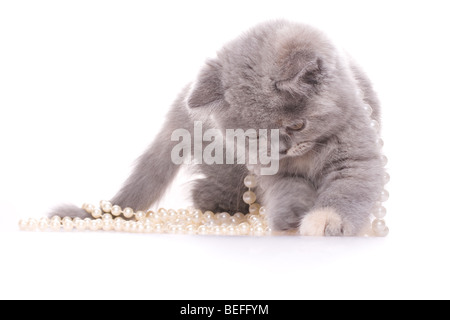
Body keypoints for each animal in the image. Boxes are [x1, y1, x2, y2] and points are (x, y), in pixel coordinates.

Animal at [52, 19, 384, 235]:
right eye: (254, 135)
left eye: (297, 125)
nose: (281, 150)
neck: (308, 153)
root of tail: (180, 106)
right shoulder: (270, 170)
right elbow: (288, 189)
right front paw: (289, 216)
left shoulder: (357, 156)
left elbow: (347, 190)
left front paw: (325, 221)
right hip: (226, 166)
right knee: (203, 191)